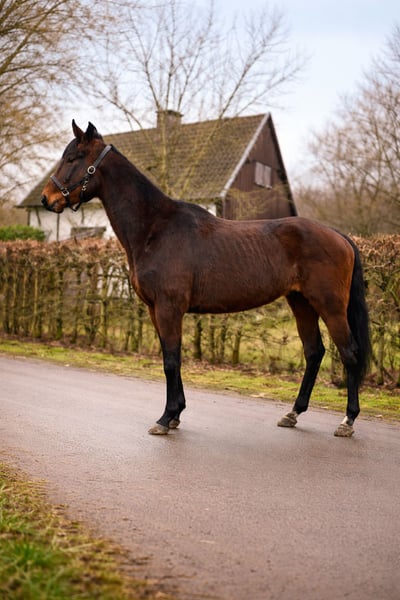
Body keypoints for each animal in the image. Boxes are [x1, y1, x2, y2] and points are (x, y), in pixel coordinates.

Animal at [41, 121, 371, 437]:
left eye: (73, 158)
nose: (47, 199)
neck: (155, 229)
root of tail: (340, 236)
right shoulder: (155, 310)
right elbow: (171, 357)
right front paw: (176, 415)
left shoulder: (169, 308)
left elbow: (171, 360)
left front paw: (165, 418)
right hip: (300, 302)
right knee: (314, 352)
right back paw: (293, 413)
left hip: (329, 305)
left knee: (349, 354)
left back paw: (348, 421)